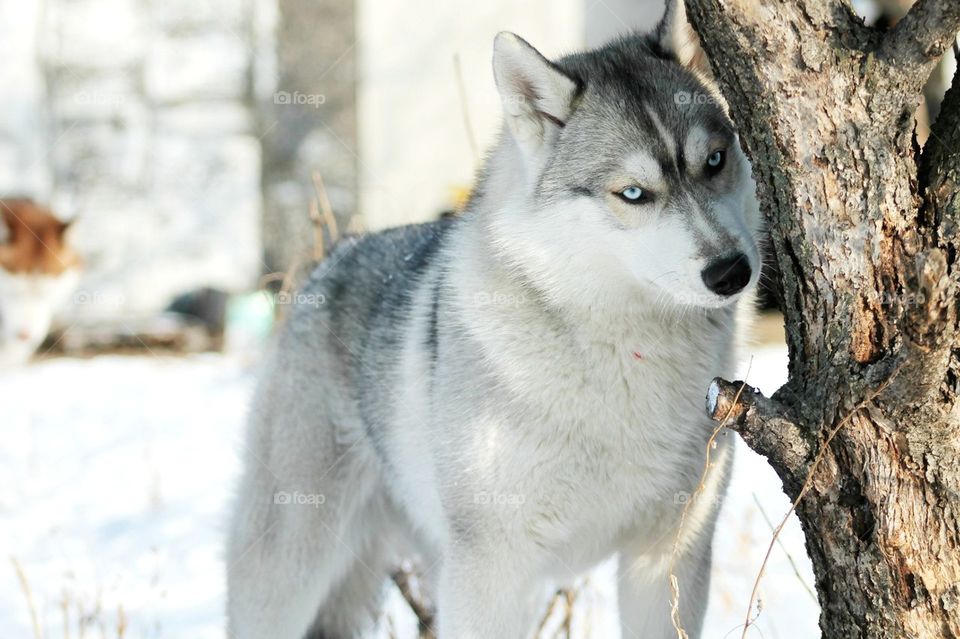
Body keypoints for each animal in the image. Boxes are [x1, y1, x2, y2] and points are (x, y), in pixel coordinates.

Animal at [229, 2, 760, 636]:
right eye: (633, 193)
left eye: (715, 161)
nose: (731, 272)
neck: (621, 347)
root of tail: (333, 257)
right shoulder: (492, 570)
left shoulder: (667, 559)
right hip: (292, 567)